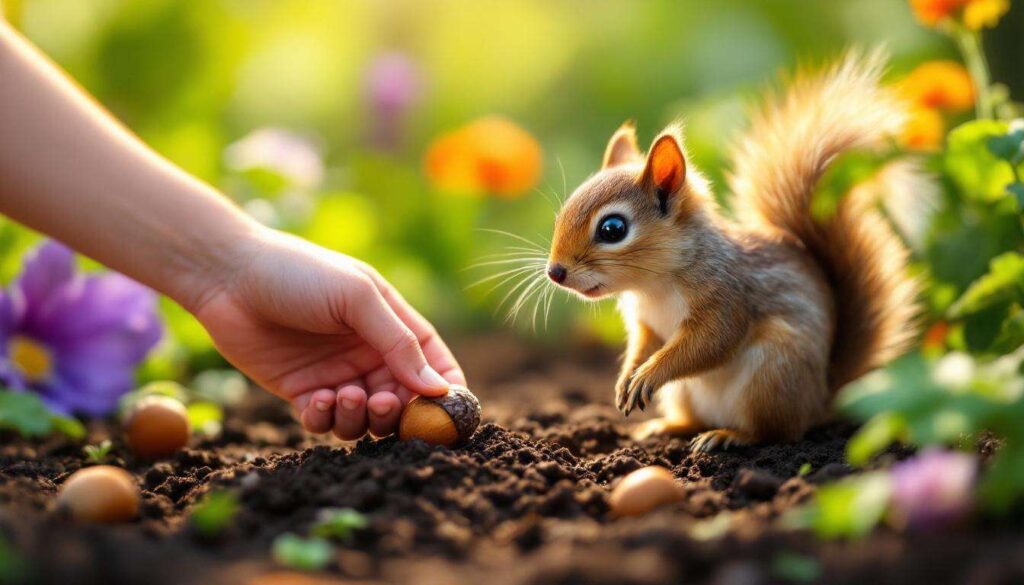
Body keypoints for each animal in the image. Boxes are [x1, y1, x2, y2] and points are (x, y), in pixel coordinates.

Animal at [545, 51, 924, 452]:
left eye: (612, 229)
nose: (555, 271)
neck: (653, 285)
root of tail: (820, 399)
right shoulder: (646, 321)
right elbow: (644, 343)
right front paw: (627, 377)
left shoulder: (728, 298)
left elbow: (710, 343)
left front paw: (650, 373)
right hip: (686, 394)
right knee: (697, 419)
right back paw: (666, 427)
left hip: (772, 374)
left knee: (775, 432)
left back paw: (729, 435)